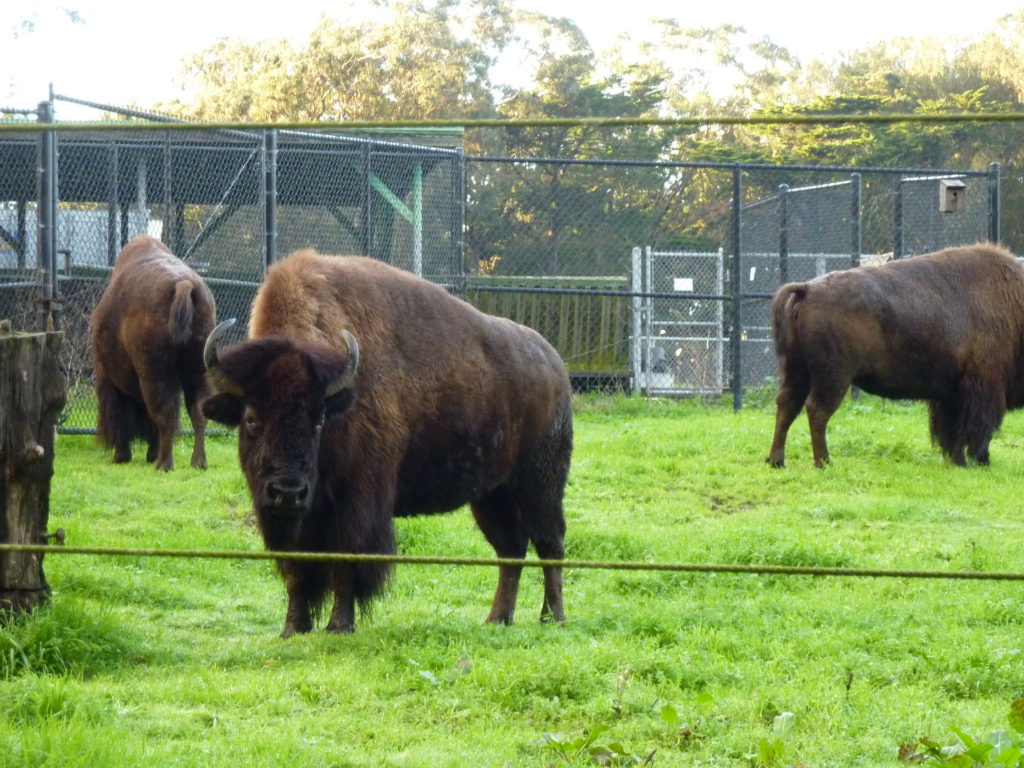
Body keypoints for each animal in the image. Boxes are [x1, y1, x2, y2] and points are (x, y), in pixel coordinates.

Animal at [90, 234, 216, 473]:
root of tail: (183, 285)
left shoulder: (110, 378)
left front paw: (121, 455)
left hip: (154, 371)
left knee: (164, 413)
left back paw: (164, 464)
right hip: (198, 368)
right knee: (196, 412)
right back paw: (198, 462)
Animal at [199, 250, 577, 638]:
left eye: (319, 420)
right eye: (251, 418)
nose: (287, 490)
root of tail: (554, 365)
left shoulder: (356, 504)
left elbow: (346, 561)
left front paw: (339, 626)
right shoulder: (294, 517)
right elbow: (296, 571)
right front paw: (293, 628)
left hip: (541, 484)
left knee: (550, 542)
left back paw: (554, 617)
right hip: (491, 494)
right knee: (511, 549)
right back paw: (498, 619)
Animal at [765, 243, 1024, 468]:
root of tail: (807, 289)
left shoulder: (951, 394)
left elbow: (953, 432)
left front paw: (958, 462)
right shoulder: (982, 388)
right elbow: (978, 430)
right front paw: (980, 462)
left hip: (797, 371)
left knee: (787, 405)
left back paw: (777, 461)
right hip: (833, 378)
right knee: (816, 410)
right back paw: (824, 462)